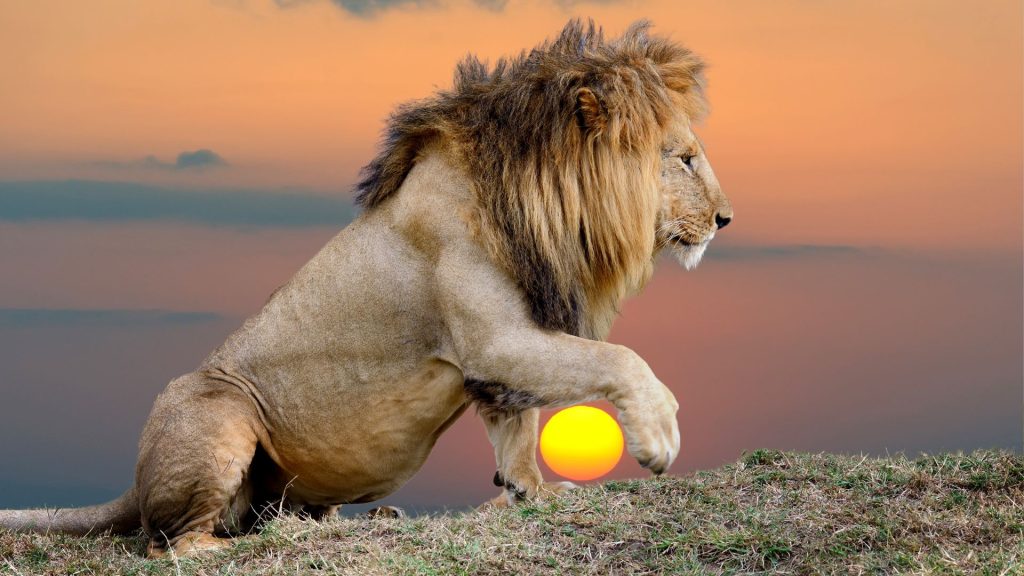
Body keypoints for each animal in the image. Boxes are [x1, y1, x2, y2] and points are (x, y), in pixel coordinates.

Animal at [0, 19, 731, 556]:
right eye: (684, 158)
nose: (727, 219)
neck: (543, 206)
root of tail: (134, 481)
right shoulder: (495, 340)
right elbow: (618, 359)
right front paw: (658, 437)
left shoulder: (502, 352)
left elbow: (517, 429)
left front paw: (531, 494)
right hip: (217, 409)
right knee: (169, 543)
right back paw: (238, 548)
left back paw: (356, 521)